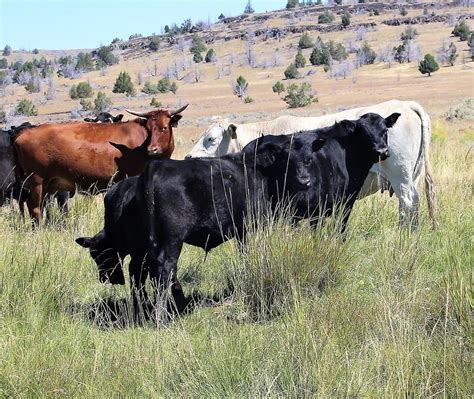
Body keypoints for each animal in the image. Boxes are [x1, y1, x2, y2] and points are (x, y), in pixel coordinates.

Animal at [13, 104, 187, 225]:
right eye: (149, 129)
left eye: (164, 128)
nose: (152, 149)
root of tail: (23, 134)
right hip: (37, 181)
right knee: (34, 207)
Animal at [75, 134, 318, 322]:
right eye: (285, 158)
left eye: (308, 159)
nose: (305, 180)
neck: (257, 170)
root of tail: (156, 167)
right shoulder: (251, 227)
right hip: (171, 240)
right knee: (162, 269)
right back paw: (162, 316)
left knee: (141, 271)